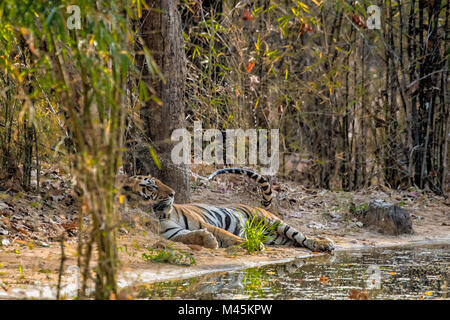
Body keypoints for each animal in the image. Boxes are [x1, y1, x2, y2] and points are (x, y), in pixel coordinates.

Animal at [122, 169, 334, 251]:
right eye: (151, 187)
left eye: (158, 182)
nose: (173, 193)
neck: (160, 214)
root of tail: (257, 206)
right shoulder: (172, 234)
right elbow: (189, 237)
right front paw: (208, 240)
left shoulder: (202, 222)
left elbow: (225, 234)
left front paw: (249, 244)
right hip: (276, 238)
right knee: (296, 242)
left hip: (275, 222)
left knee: (303, 237)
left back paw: (324, 244)